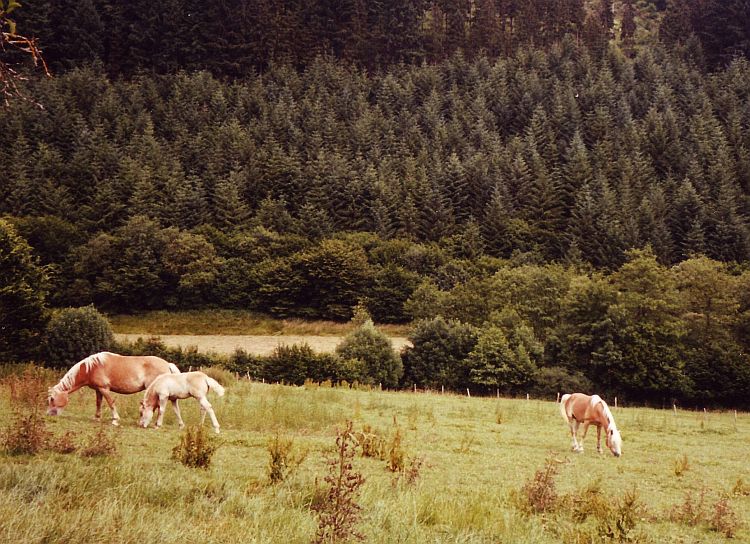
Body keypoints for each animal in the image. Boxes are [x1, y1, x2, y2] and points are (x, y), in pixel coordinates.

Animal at [48, 352, 181, 424]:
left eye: (52, 399)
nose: (49, 414)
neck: (91, 368)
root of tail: (167, 364)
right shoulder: (98, 390)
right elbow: (98, 403)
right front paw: (97, 418)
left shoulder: (104, 389)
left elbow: (111, 402)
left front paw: (115, 420)